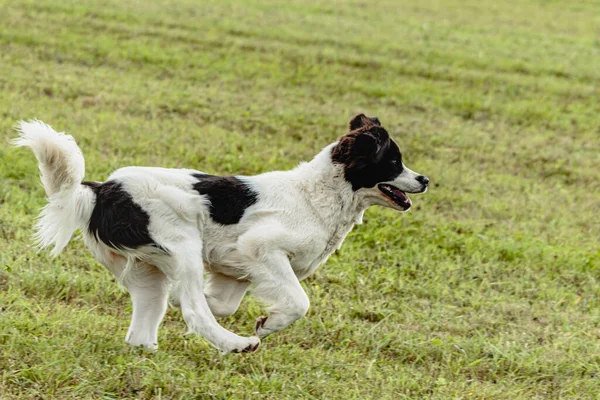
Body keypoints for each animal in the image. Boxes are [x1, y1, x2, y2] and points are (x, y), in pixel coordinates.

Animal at [12, 113, 426, 354]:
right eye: (393, 161)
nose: (424, 180)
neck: (315, 195)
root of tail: (101, 189)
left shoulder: (236, 271)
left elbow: (223, 304)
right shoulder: (262, 248)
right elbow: (298, 302)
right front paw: (267, 324)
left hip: (151, 269)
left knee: (151, 317)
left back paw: (149, 347)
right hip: (183, 244)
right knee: (195, 312)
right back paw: (236, 344)